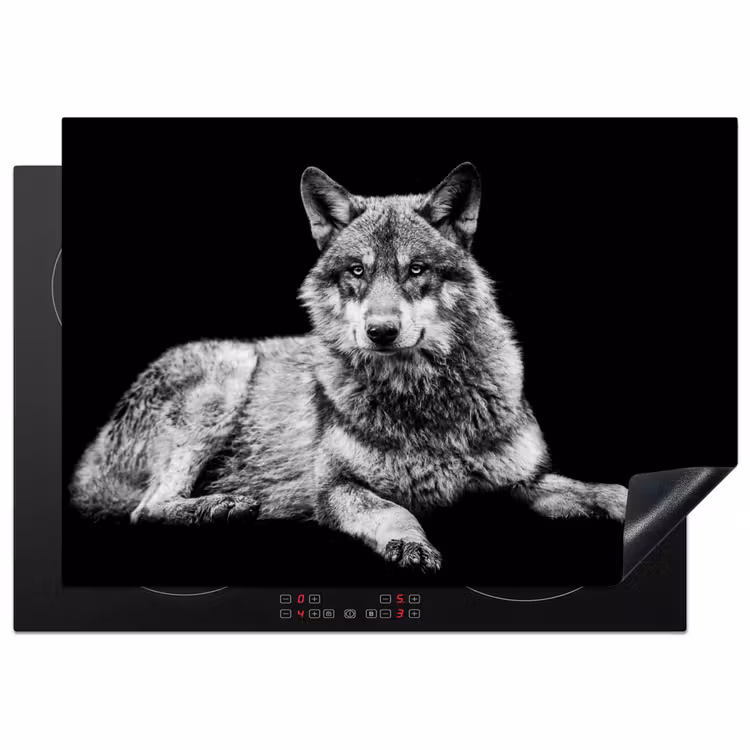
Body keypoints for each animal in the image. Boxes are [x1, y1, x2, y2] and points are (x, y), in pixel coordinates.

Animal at [70, 163, 627, 572]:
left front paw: (624, 502)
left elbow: (600, 490)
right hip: (227, 377)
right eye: (357, 271)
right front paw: (411, 545)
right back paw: (221, 506)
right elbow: (392, 509)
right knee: (145, 510)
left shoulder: (524, 482)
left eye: (416, 270)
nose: (380, 331)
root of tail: (90, 458)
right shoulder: (334, 489)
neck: (424, 400)